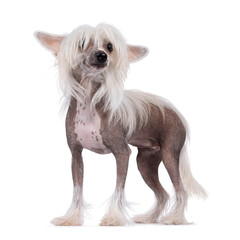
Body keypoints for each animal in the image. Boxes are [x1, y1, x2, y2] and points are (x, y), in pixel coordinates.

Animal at [34, 23, 206, 226]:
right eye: (82, 43)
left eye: (109, 46)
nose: (102, 55)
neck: (89, 101)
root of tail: (174, 110)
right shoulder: (76, 155)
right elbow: (77, 190)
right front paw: (72, 218)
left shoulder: (122, 153)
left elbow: (118, 188)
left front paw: (113, 217)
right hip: (145, 162)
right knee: (162, 194)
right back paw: (149, 218)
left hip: (169, 155)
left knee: (180, 189)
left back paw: (175, 218)